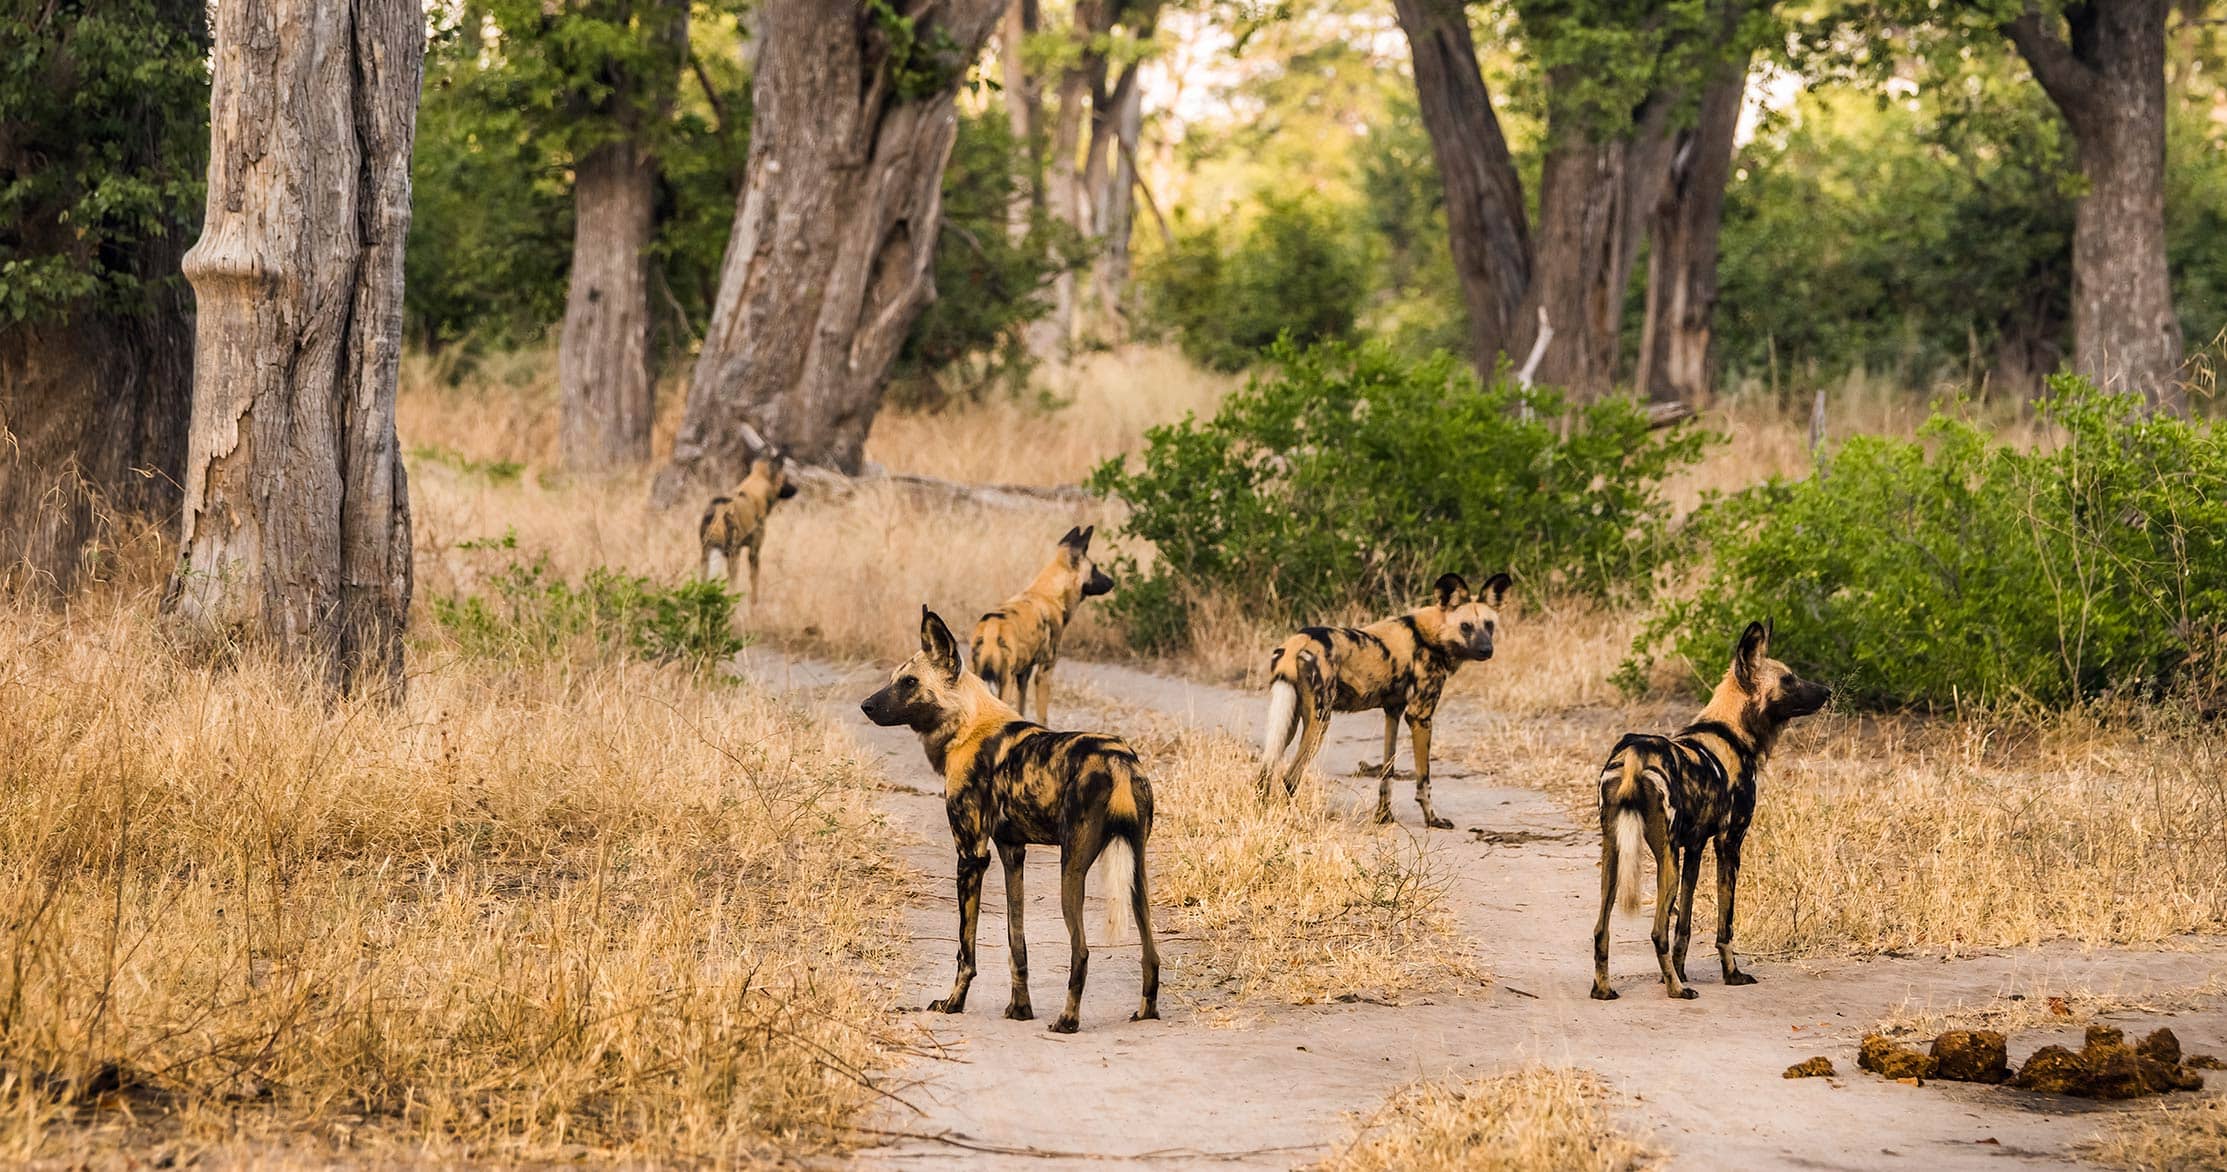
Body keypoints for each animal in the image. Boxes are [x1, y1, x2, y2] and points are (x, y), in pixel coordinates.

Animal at [699, 450, 806, 597]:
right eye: (785, 478)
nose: (796, 489)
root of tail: (719, 510)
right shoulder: (754, 552)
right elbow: (754, 591)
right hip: (733, 556)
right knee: (731, 590)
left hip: (706, 555)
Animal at [859, 610, 1158, 1033]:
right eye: (892, 679)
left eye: (910, 682)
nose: (866, 705)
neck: (967, 725)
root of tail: (1118, 758)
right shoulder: (1011, 852)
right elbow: (1017, 943)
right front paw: (1020, 1009)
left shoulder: (971, 857)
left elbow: (964, 951)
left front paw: (953, 1004)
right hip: (1137, 874)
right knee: (1151, 951)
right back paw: (1147, 1012)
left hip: (1071, 870)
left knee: (1081, 950)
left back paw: (1067, 1021)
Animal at [970, 530, 1113, 730]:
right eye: (1095, 568)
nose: (1112, 581)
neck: (1049, 593)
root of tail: (992, 627)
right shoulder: (1044, 673)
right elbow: (1043, 717)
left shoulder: (1024, 674)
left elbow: (1021, 709)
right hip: (1005, 682)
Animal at [1256, 574, 1514, 833]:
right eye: (1465, 626)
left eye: (1489, 625)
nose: (1486, 650)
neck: (1430, 636)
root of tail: (1299, 640)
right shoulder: (1419, 717)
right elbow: (1424, 781)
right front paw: (1433, 820)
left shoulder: (1393, 712)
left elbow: (1387, 772)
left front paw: (1384, 817)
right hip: (1319, 721)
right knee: (1289, 778)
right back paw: (1297, 823)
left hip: (1288, 719)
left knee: (1264, 774)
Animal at [1594, 623, 1835, 1002]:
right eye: (1789, 679)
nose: (1826, 691)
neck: (1731, 731)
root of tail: (1635, 752)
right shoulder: (1729, 844)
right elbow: (1726, 924)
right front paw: (1731, 974)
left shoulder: (1694, 847)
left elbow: (1685, 925)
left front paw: (1679, 970)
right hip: (1666, 860)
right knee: (1656, 931)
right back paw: (1677, 991)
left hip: (1615, 856)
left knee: (1601, 929)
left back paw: (1605, 989)